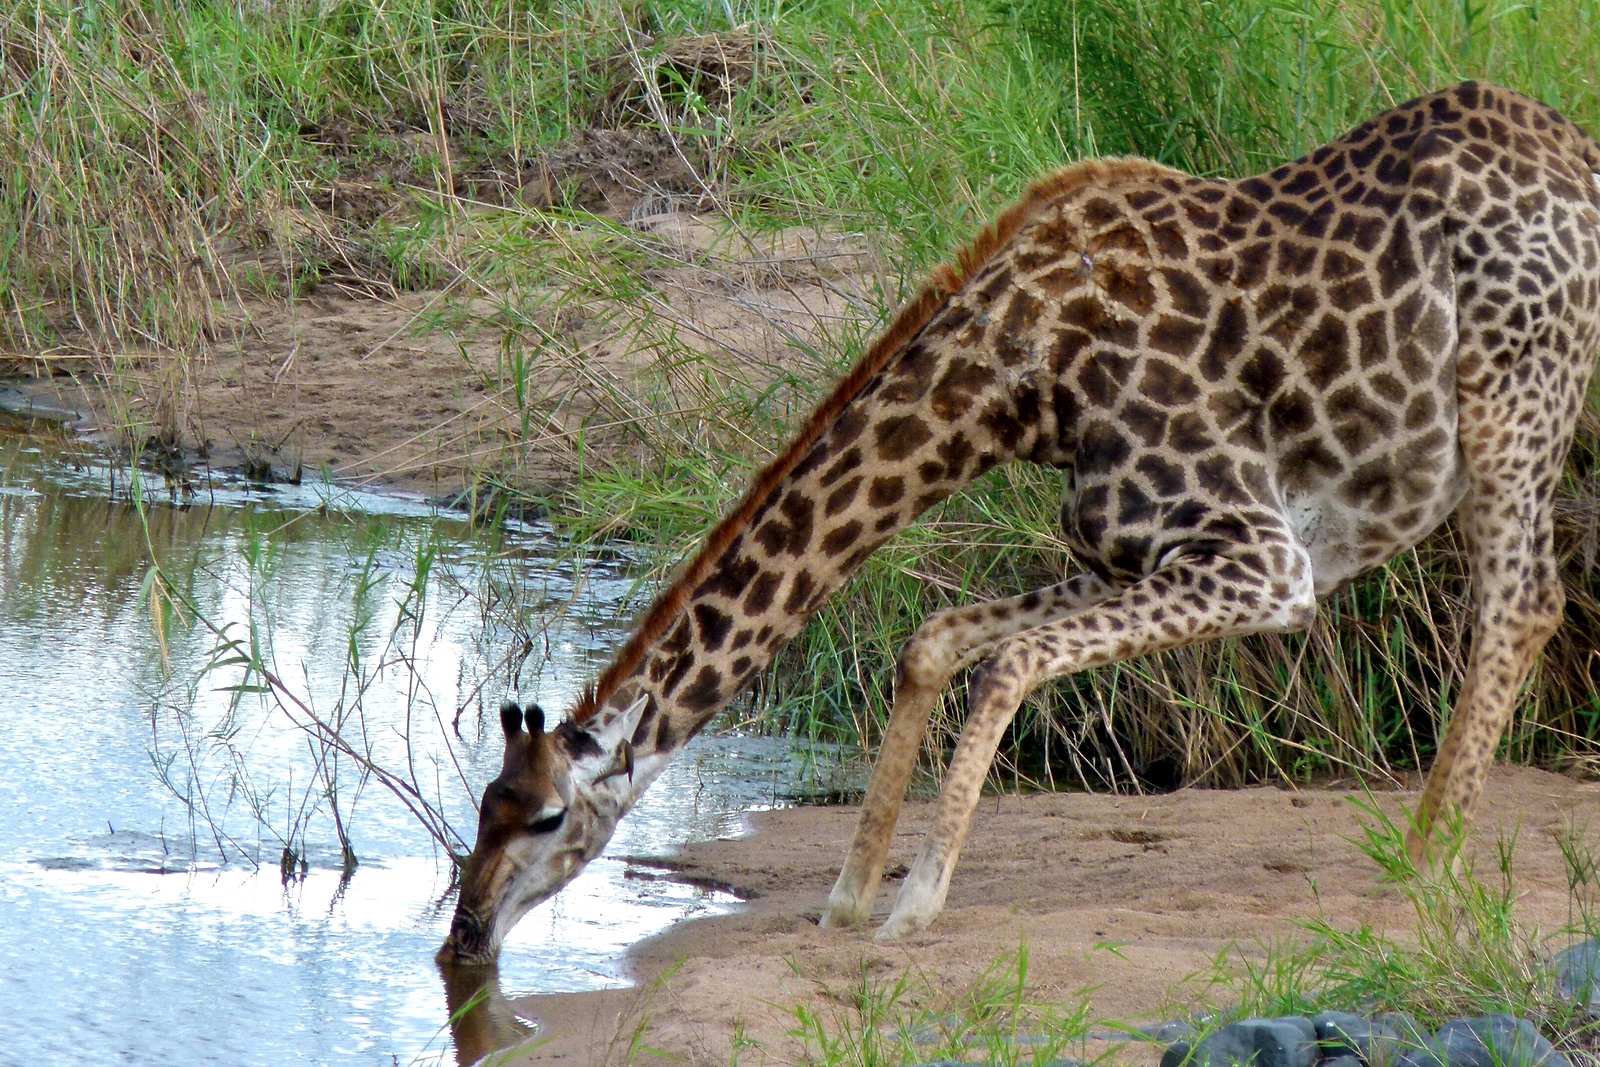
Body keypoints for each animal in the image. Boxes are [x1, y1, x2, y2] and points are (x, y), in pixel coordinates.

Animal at [437, 82, 1600, 962]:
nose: (464, 933)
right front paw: (849, 894)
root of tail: (1578, 157)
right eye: (482, 804)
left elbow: (1006, 661)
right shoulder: (1119, 546)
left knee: (1521, 603)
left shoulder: (1263, 559)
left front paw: (914, 904)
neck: (1014, 378)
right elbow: (935, 641)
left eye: (546, 814)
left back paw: (1427, 858)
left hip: (1514, 393)